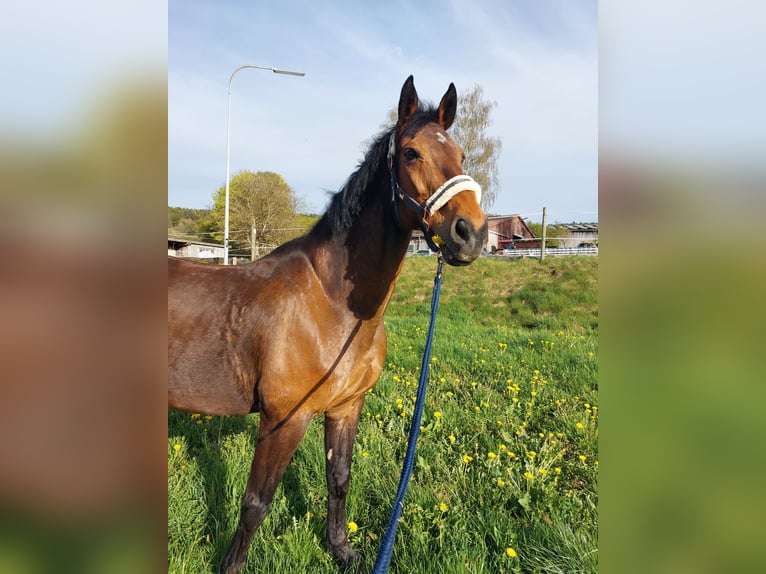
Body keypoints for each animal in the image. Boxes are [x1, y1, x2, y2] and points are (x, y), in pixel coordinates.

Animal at [170, 76, 488, 574]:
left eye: (461, 155)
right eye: (411, 153)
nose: (471, 233)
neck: (331, 303)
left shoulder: (346, 406)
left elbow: (339, 477)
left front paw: (342, 549)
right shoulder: (284, 420)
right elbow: (255, 504)